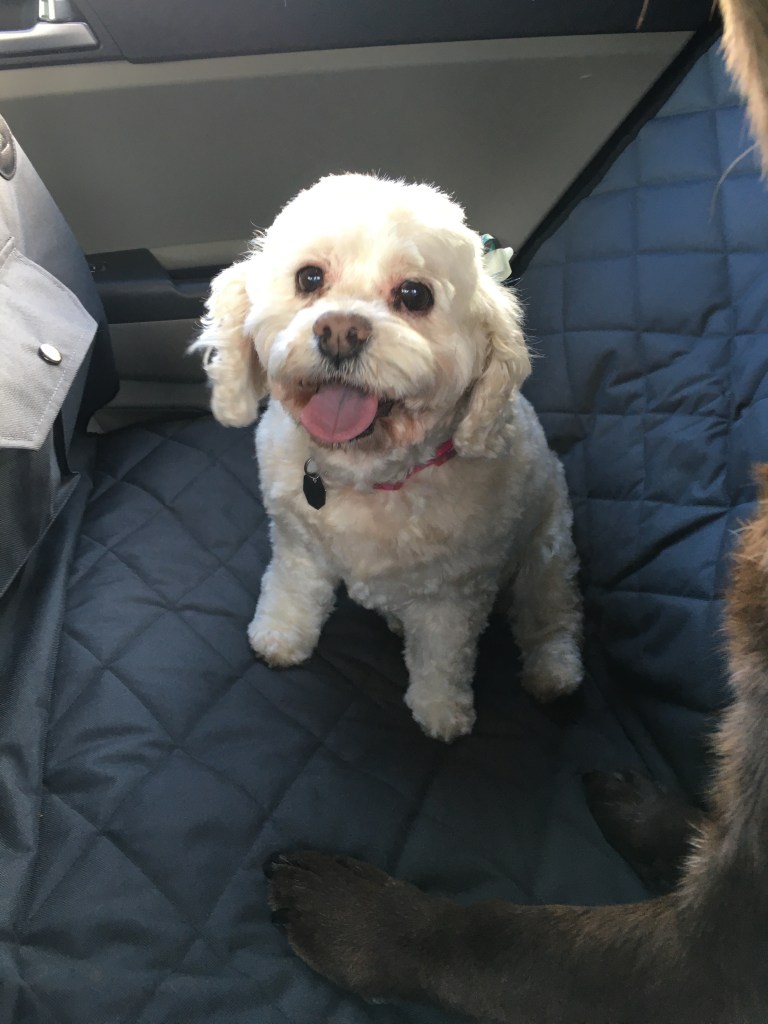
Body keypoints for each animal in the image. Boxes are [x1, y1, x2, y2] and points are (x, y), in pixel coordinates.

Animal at [193, 173, 582, 742]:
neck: (364, 475)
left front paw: (441, 711)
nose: (339, 330)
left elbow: (443, 654)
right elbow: (292, 589)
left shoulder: (456, 591)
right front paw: (281, 635)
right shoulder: (298, 542)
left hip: (548, 549)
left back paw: (553, 674)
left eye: (414, 294)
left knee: (551, 618)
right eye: (309, 277)